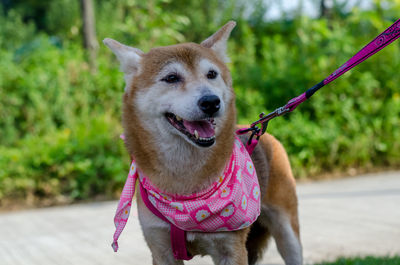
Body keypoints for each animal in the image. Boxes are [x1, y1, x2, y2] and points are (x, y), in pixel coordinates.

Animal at [104, 20, 302, 264]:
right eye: (171, 78)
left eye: (211, 74)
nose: (211, 102)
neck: (185, 186)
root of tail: (261, 132)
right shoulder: (160, 249)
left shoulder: (231, 249)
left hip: (288, 236)